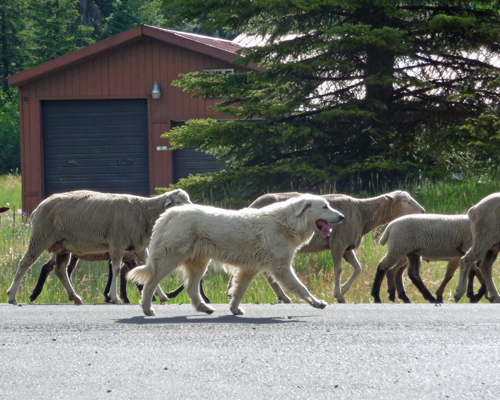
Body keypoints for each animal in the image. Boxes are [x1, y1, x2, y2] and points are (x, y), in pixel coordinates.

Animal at [6, 189, 192, 304]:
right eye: (178, 202)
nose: (191, 210)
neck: (144, 212)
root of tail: (37, 208)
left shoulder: (139, 247)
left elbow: (150, 270)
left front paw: (162, 296)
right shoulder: (117, 243)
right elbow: (116, 270)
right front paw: (115, 298)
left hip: (63, 245)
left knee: (60, 270)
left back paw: (75, 297)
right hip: (41, 236)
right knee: (25, 263)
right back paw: (12, 296)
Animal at [248, 191, 424, 304]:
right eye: (406, 201)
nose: (423, 211)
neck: (362, 214)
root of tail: (252, 204)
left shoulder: (347, 247)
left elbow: (358, 268)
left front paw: (344, 289)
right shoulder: (338, 243)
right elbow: (338, 269)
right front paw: (339, 295)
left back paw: (282, 297)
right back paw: (283, 296)